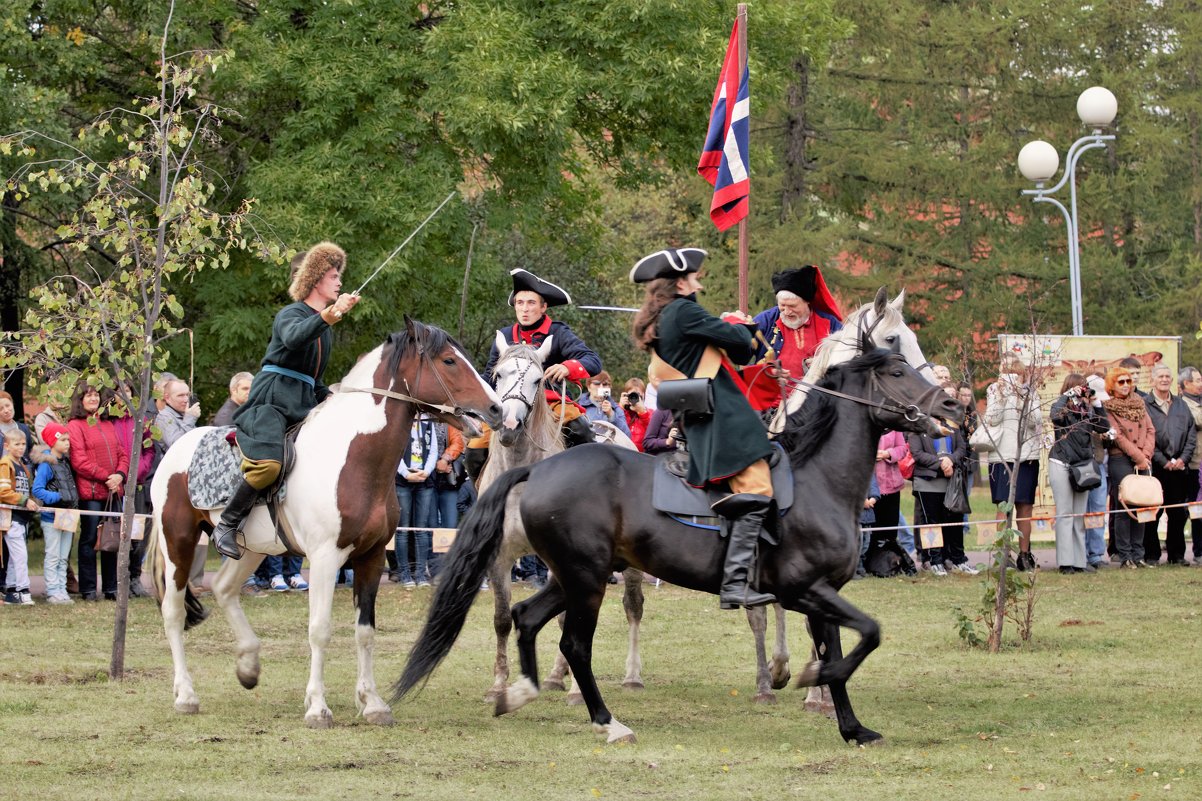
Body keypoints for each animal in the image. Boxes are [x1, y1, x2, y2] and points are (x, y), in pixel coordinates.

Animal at [146, 317, 502, 721]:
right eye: (448, 361)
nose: (495, 409)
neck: (353, 456)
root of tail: (176, 449)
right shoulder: (324, 558)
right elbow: (320, 629)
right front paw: (317, 706)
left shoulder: (371, 557)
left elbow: (365, 631)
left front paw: (372, 702)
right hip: (178, 541)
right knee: (173, 612)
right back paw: (186, 694)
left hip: (249, 547)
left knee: (223, 588)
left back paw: (248, 665)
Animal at [399, 348, 961, 740]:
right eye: (896, 370)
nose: (953, 404)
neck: (816, 479)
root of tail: (538, 468)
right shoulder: (808, 590)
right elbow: (865, 636)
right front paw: (806, 679)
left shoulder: (822, 596)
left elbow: (844, 650)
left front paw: (851, 727)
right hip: (585, 580)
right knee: (572, 643)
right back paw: (607, 721)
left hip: (573, 576)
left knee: (527, 618)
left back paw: (518, 694)